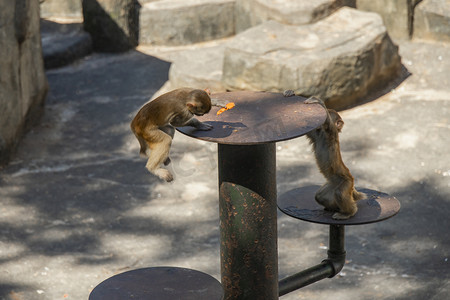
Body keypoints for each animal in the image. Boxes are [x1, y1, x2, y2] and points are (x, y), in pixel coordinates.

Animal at [284, 90, 366, 219]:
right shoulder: (317, 133)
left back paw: (349, 212)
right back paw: (334, 208)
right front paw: (290, 93)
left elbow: (328, 123)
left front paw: (318, 101)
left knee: (339, 193)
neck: (323, 134)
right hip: (332, 183)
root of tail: (351, 180)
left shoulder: (331, 132)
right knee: (320, 196)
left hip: (346, 183)